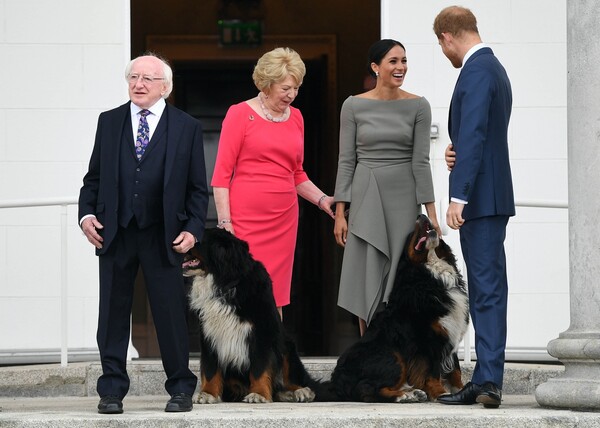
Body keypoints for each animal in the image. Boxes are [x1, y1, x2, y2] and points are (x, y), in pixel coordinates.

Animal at [182, 229, 314, 402]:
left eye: (199, 239)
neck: (225, 284)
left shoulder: (261, 333)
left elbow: (259, 368)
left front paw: (259, 394)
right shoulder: (209, 334)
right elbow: (211, 369)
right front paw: (207, 394)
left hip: (286, 346)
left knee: (291, 377)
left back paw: (299, 392)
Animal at [314, 216, 468, 402]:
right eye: (411, 235)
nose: (422, 216)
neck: (431, 275)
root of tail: (336, 382)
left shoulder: (451, 332)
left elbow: (456, 369)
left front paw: (461, 390)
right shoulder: (428, 340)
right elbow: (432, 371)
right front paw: (440, 393)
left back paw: (413, 392)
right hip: (393, 356)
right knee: (366, 388)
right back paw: (405, 395)